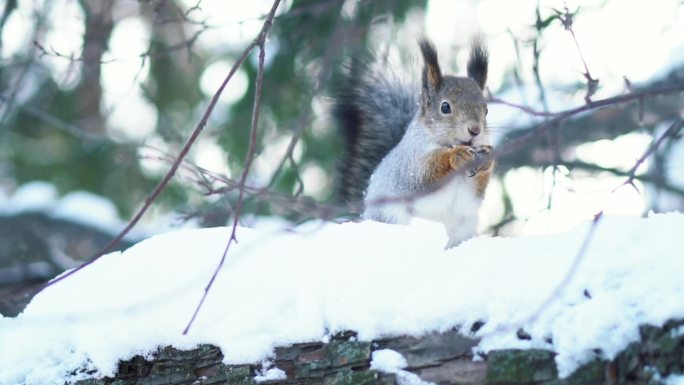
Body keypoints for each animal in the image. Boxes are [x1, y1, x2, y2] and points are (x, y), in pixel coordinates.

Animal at [334, 36, 494, 246]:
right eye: (445, 107)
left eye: (486, 110)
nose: (475, 130)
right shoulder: (410, 162)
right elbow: (422, 174)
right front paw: (456, 155)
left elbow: (477, 191)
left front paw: (488, 157)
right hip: (393, 217)